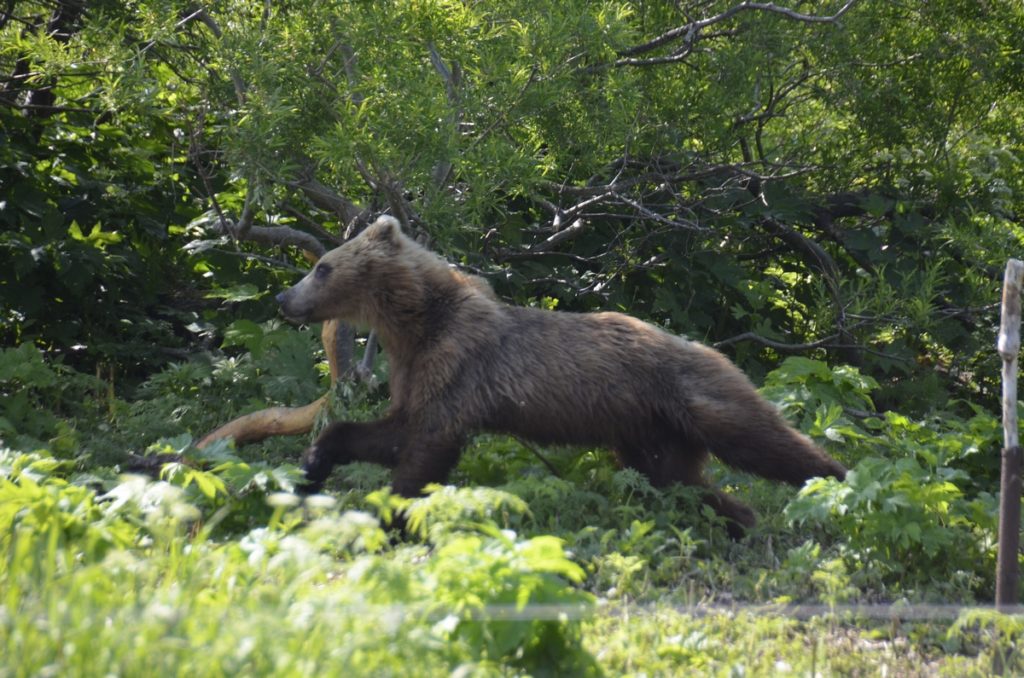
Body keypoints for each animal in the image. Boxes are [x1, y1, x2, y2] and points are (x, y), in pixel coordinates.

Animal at [276, 216, 843, 536]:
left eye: (323, 266)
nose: (284, 296)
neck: (415, 321)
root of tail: (714, 348)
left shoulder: (458, 366)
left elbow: (425, 448)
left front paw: (390, 520)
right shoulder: (416, 373)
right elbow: (386, 432)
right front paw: (310, 469)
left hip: (693, 394)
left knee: (762, 440)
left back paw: (835, 483)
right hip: (649, 434)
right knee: (680, 481)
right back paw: (741, 524)